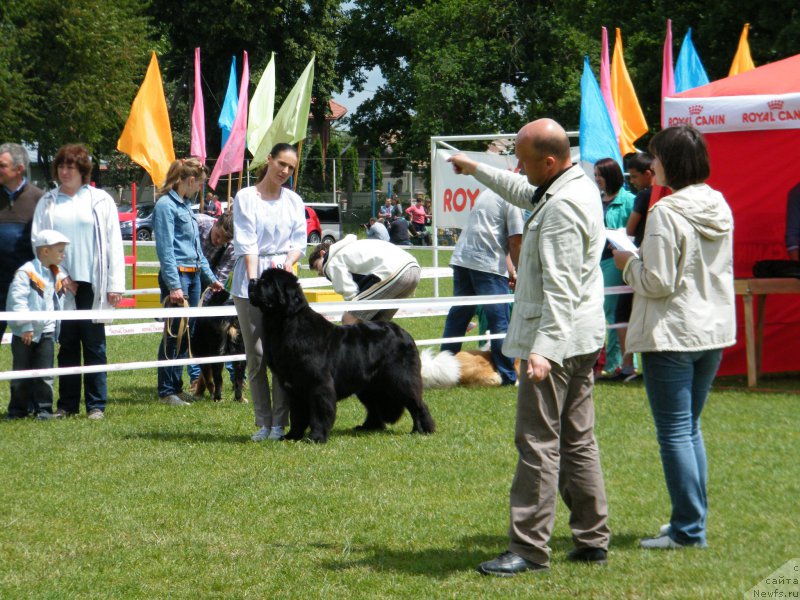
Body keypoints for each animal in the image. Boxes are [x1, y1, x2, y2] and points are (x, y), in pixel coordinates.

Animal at [250, 270, 438, 442]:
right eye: (261, 278)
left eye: (269, 283)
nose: (252, 281)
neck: (284, 324)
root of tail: (404, 333)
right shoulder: (293, 387)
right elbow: (297, 415)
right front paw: (292, 436)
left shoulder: (318, 384)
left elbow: (319, 412)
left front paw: (316, 437)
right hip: (368, 386)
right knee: (374, 406)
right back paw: (368, 427)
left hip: (400, 378)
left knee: (417, 404)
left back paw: (422, 430)